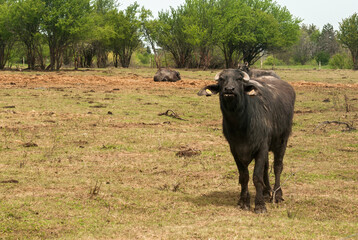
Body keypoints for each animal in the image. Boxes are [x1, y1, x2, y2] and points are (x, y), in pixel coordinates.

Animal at [197, 68, 296, 213]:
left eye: (239, 79)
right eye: (222, 79)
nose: (229, 89)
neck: (241, 125)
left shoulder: (261, 147)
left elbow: (257, 177)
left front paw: (259, 205)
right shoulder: (235, 149)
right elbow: (244, 176)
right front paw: (243, 202)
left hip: (283, 140)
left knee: (278, 166)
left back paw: (277, 194)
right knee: (266, 167)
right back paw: (266, 192)